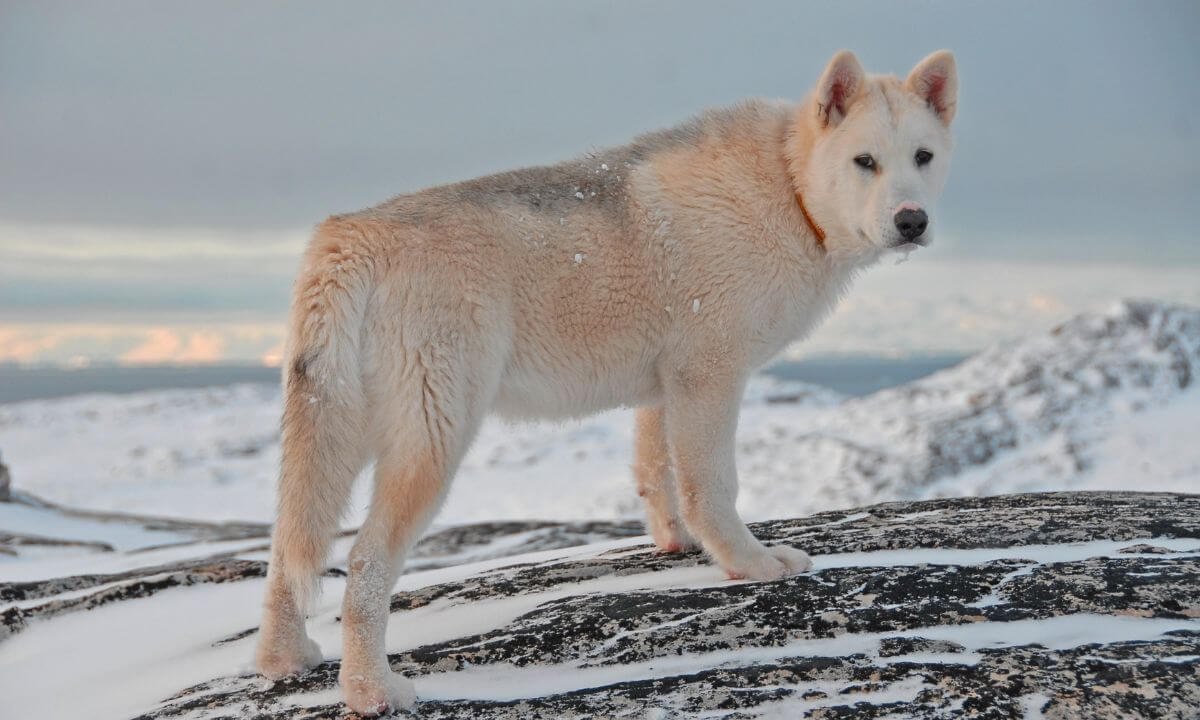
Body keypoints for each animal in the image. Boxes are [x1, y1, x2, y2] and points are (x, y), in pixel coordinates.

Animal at [253, 50, 955, 715]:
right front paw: (750, 565)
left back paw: (285, 660)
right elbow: (713, 489)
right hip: (431, 442)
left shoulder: (665, 388)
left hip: (335, 440)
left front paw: (676, 545)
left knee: (287, 552)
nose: (912, 221)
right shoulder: (711, 378)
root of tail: (351, 235)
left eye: (923, 157)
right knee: (364, 564)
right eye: (865, 161)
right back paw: (370, 692)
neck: (786, 190)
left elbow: (657, 476)